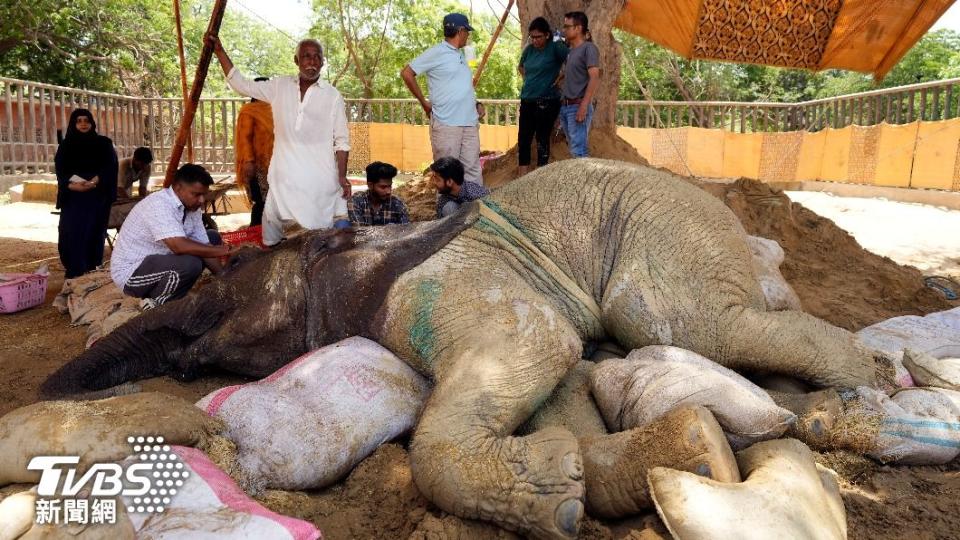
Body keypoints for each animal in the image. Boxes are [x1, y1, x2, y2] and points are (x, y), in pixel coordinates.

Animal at [45, 158, 884, 536]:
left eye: (224, 285)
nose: (52, 393)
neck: (348, 247)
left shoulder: (424, 291)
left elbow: (536, 345)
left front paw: (558, 495)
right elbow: (563, 381)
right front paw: (630, 468)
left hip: (665, 223)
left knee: (692, 326)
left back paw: (864, 384)